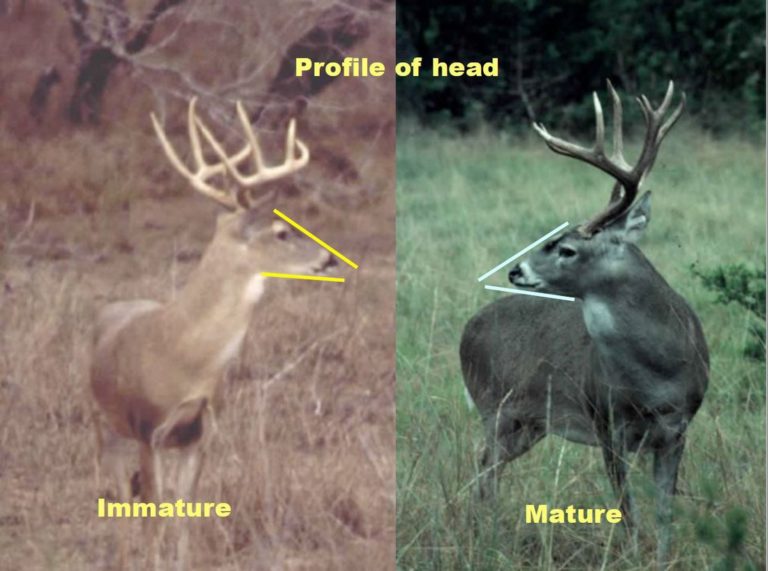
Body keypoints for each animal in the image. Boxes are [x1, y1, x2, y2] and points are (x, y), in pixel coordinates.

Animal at [90, 98, 337, 569]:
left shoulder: (201, 431)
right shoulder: (148, 428)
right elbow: (153, 516)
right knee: (119, 499)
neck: (185, 356)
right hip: (104, 424)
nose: (328, 259)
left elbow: (184, 513)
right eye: (282, 231)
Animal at [460, 81, 709, 569]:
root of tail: (467, 330)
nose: (515, 270)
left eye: (567, 249)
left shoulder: (677, 429)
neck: (659, 374)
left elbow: (664, 511)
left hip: (528, 426)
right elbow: (628, 511)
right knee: (484, 471)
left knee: (485, 470)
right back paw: (487, 538)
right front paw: (632, 555)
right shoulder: (606, 423)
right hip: (494, 409)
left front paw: (660, 558)